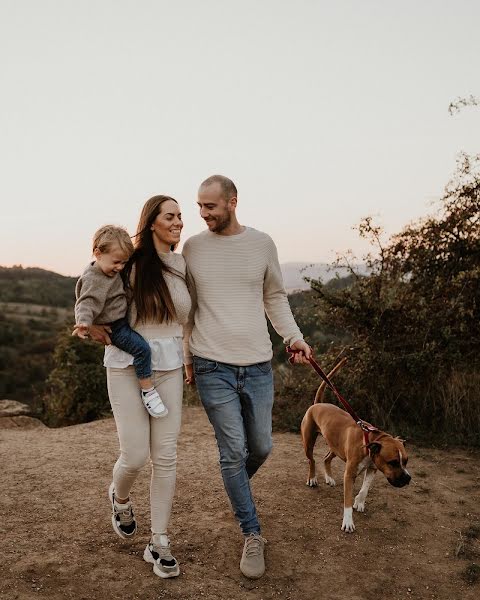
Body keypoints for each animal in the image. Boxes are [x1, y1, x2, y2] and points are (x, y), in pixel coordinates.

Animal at [300, 358, 408, 532]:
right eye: (393, 462)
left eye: (405, 461)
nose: (408, 478)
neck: (369, 439)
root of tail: (317, 404)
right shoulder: (349, 474)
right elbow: (347, 501)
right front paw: (348, 521)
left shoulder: (372, 468)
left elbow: (365, 488)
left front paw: (359, 501)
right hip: (309, 443)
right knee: (312, 460)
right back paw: (312, 479)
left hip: (336, 446)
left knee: (326, 458)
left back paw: (329, 478)